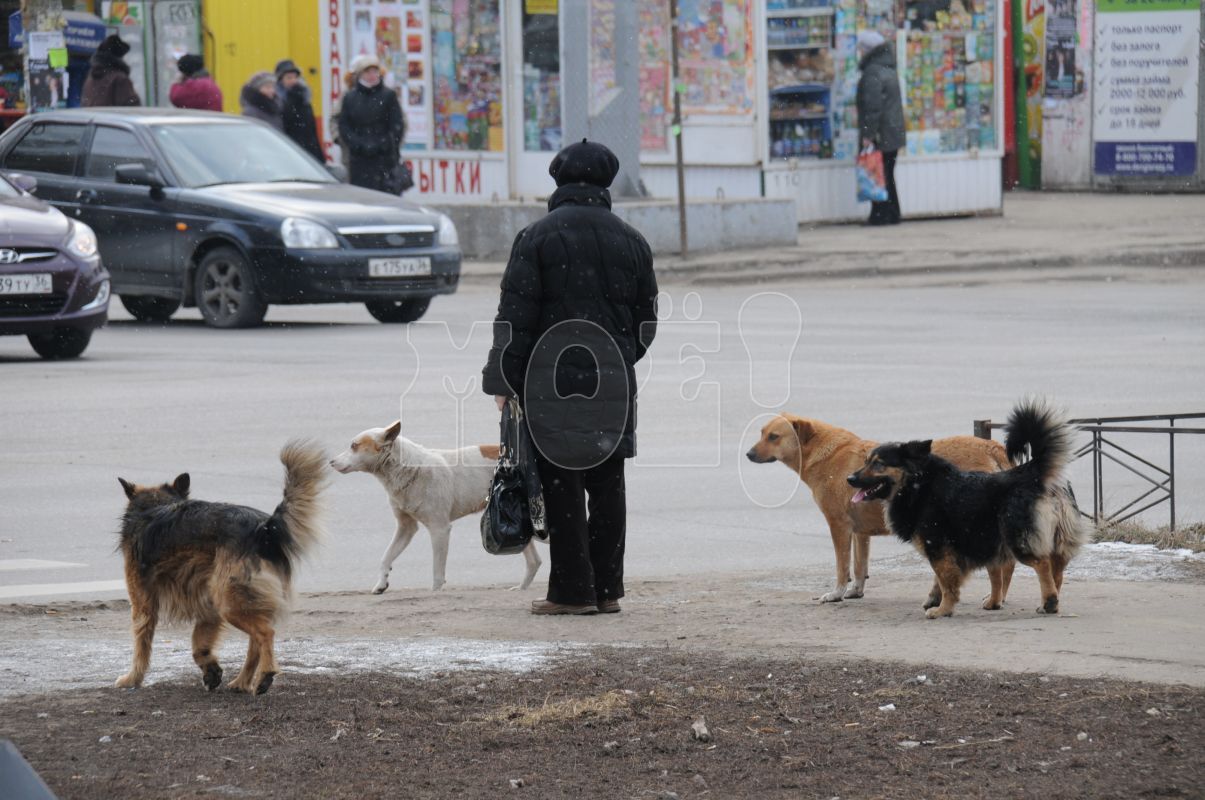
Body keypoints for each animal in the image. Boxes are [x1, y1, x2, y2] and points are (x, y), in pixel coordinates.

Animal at [115, 440, 327, 698]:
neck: (157, 506)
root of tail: (265, 529)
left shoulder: (142, 604)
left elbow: (141, 645)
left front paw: (132, 678)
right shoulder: (207, 605)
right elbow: (199, 644)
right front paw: (211, 670)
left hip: (230, 600)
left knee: (266, 633)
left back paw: (265, 675)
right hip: (232, 597)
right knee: (256, 641)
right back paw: (243, 681)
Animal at [327, 421, 539, 590]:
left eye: (354, 446)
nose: (331, 462)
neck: (407, 469)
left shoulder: (440, 530)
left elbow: (437, 573)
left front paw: (435, 591)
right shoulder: (406, 528)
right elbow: (386, 557)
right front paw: (381, 583)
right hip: (513, 530)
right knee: (535, 562)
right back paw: (521, 588)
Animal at [742, 414, 1017, 602]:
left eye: (774, 437)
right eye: (762, 432)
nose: (748, 454)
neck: (825, 454)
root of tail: (990, 446)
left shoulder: (838, 525)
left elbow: (842, 566)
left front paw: (836, 593)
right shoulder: (860, 531)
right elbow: (859, 565)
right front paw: (855, 591)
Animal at [848, 400, 1094, 616]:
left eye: (878, 464)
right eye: (866, 461)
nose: (849, 479)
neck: (917, 483)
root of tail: (1032, 473)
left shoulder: (937, 545)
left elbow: (947, 581)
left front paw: (943, 610)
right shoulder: (962, 546)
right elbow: (956, 578)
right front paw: (947, 602)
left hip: (1017, 538)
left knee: (1042, 564)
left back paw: (1049, 602)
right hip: (1041, 539)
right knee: (1055, 572)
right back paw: (1044, 603)